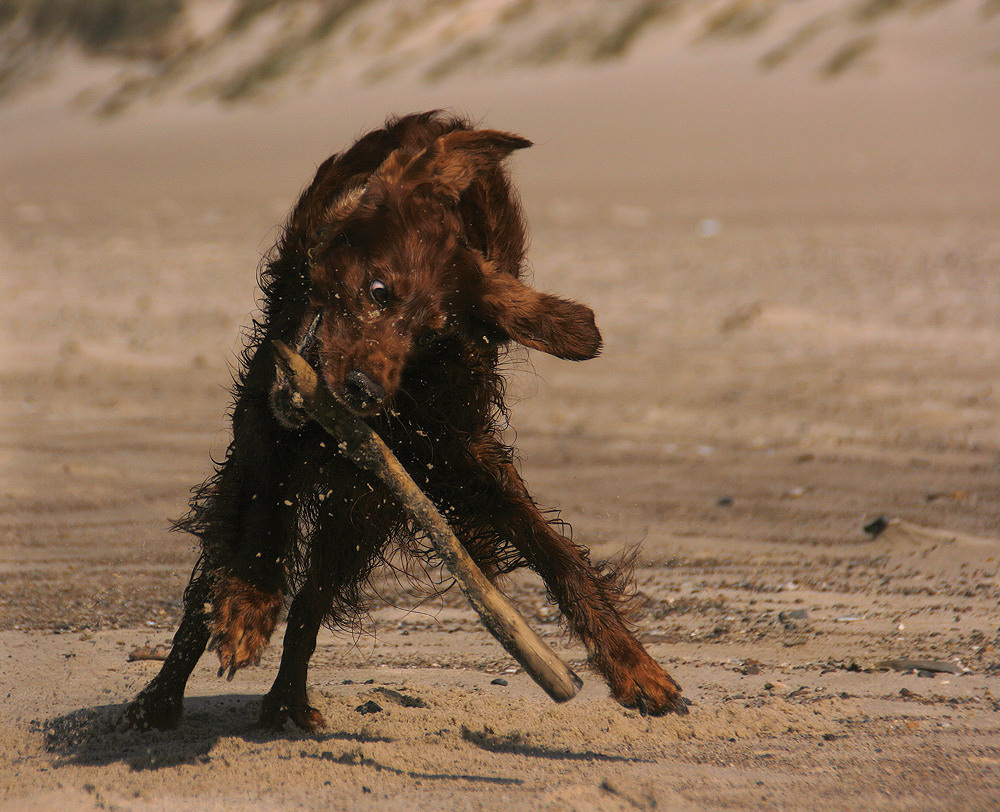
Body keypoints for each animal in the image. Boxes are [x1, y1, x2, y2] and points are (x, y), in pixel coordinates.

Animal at [125, 111, 684, 732]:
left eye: (430, 336)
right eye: (378, 291)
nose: (364, 392)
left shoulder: (447, 452)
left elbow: (556, 553)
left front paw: (635, 666)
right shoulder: (265, 412)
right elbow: (266, 511)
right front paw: (249, 603)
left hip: (359, 509)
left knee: (312, 599)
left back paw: (286, 700)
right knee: (210, 580)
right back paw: (162, 696)